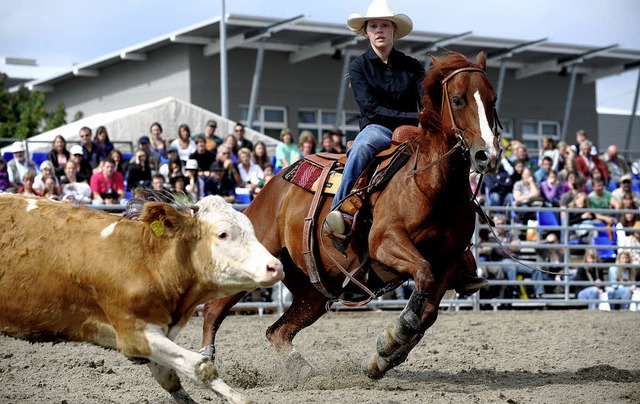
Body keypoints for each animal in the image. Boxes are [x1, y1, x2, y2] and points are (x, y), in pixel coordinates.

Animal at [0, 194, 282, 402]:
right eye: (222, 234)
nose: (275, 266)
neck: (147, 260)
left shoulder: (158, 334)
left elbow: (169, 377)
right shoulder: (134, 335)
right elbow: (200, 366)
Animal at [202, 52, 502, 380]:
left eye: (493, 99)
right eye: (458, 100)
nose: (487, 156)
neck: (428, 183)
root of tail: (273, 186)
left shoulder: (448, 261)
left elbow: (429, 310)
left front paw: (382, 358)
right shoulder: (385, 243)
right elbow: (422, 276)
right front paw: (394, 337)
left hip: (314, 293)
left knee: (278, 331)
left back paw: (303, 371)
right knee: (214, 308)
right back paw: (204, 362)